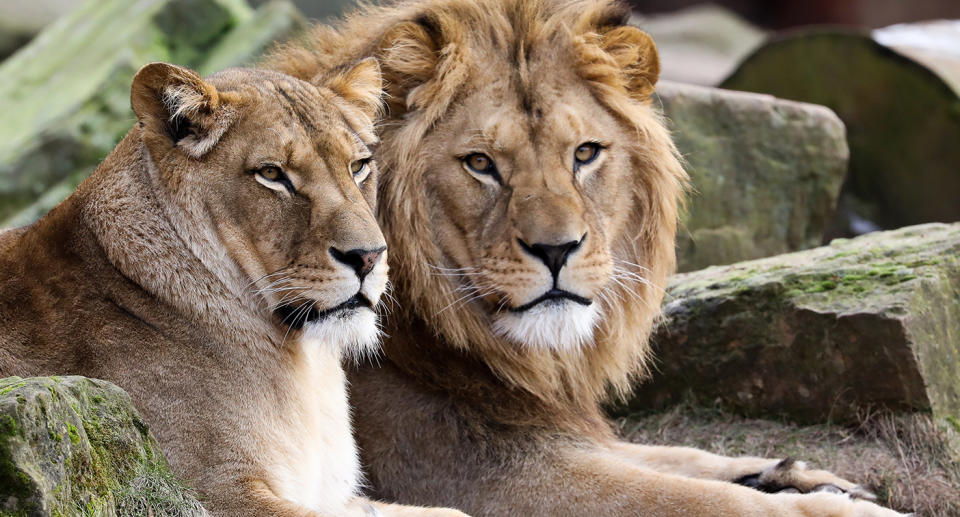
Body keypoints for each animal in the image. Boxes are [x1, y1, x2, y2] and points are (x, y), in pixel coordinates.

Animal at [268, 1, 908, 516]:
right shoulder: (473, 475)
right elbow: (698, 498)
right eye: (480, 164)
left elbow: (677, 457)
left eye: (585, 154)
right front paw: (838, 508)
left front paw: (799, 476)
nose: (556, 249)